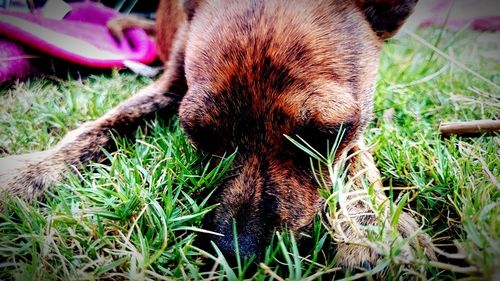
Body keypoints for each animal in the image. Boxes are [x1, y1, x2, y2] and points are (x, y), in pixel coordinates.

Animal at [0, 0, 434, 266]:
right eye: (201, 135)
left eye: (324, 135)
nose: (237, 252)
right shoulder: (168, 86)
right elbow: (103, 125)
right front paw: (27, 176)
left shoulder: (355, 121)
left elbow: (358, 160)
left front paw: (373, 226)